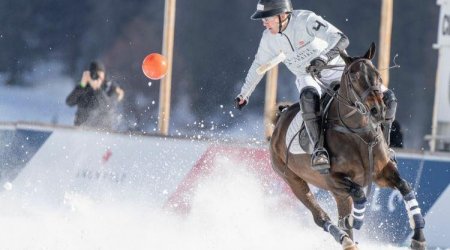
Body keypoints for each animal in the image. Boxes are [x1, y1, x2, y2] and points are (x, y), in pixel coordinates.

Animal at [268, 43, 428, 250]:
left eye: (377, 74)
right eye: (354, 77)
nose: (378, 110)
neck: (359, 133)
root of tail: (280, 120)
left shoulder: (380, 173)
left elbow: (405, 186)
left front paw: (419, 239)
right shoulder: (333, 179)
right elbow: (358, 195)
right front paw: (354, 220)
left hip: (333, 191)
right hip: (292, 179)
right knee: (322, 217)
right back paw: (346, 239)